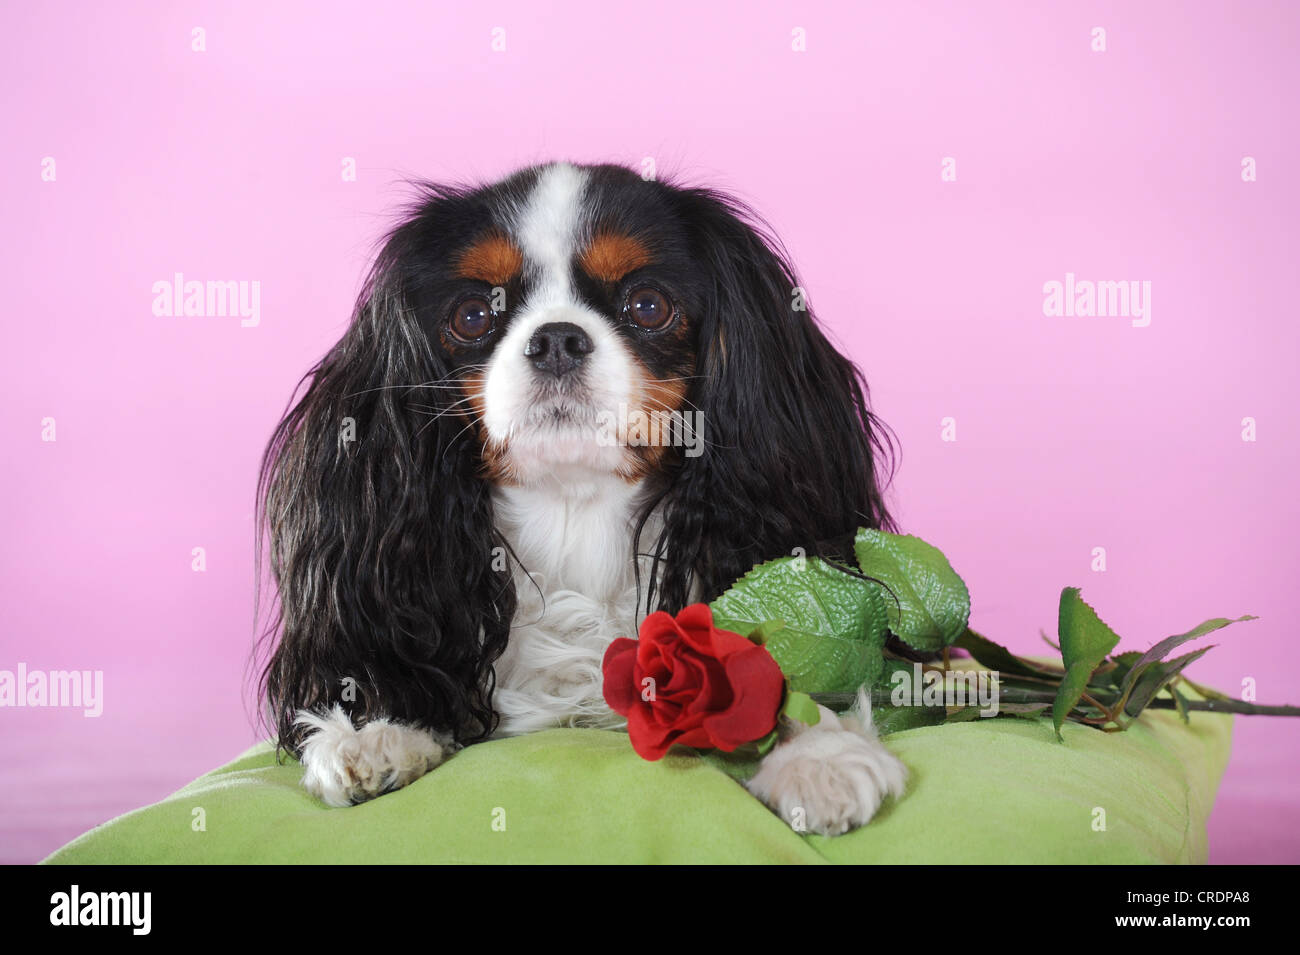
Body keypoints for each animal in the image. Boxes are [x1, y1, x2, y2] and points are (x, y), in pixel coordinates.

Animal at [258, 160, 909, 831]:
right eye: (473, 315)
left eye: (648, 305)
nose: (555, 340)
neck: (577, 515)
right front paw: (382, 728)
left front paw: (820, 752)